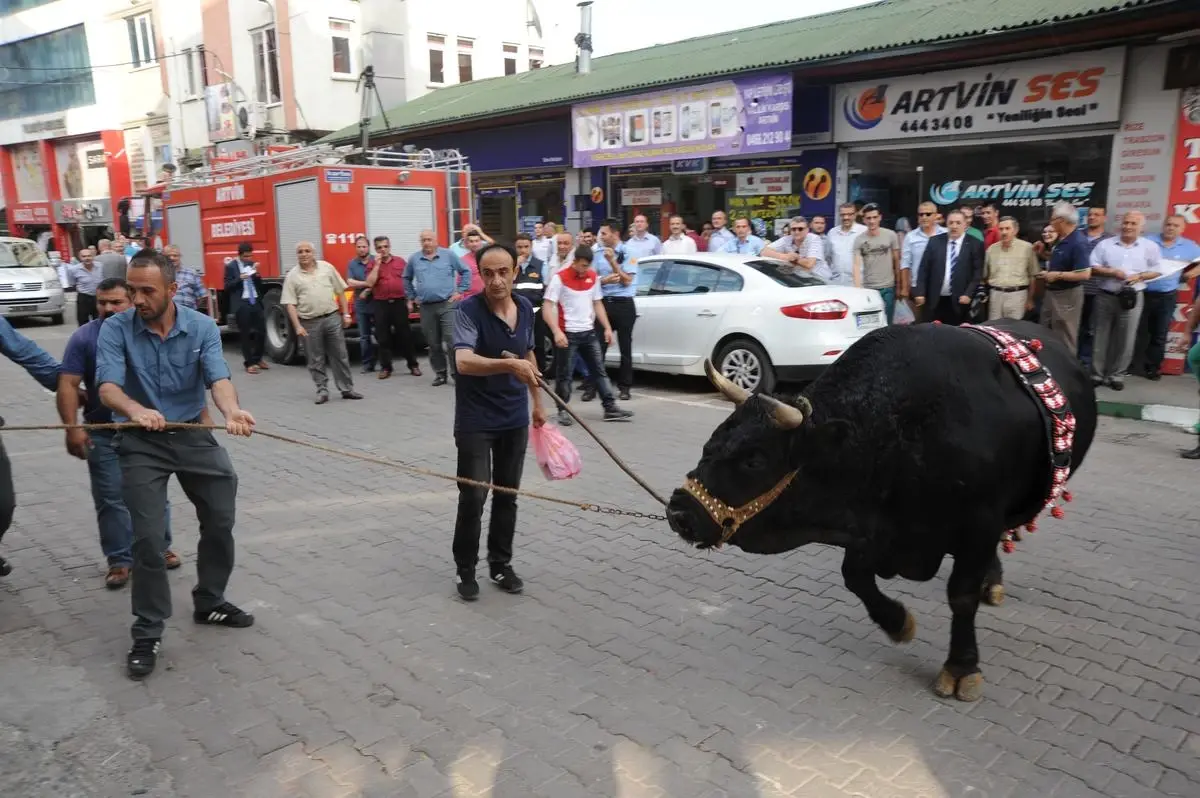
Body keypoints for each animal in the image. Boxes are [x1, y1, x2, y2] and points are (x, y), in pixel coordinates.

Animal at [667, 321, 1099, 700]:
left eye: (754, 459)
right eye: (712, 440)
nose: (679, 513)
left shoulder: (978, 523)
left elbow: (960, 596)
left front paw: (961, 668)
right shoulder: (872, 527)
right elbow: (854, 576)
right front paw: (897, 622)